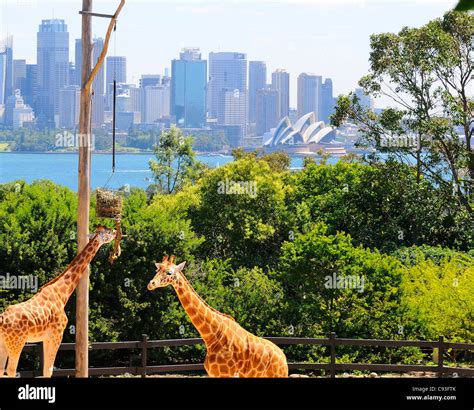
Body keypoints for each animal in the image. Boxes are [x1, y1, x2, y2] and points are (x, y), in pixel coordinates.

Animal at [0, 224, 116, 378]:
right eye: (106, 232)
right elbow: (48, 369)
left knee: (1, 369)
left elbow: (45, 369)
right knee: (11, 370)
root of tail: (2, 319)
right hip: (16, 342)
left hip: (3, 343)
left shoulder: (45, 338)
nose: (115, 232)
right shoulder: (57, 334)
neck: (62, 294)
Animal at [148, 256, 288, 378]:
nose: (151, 284)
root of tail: (284, 359)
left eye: (169, 272)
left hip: (277, 375)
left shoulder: (227, 374)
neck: (213, 336)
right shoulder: (213, 374)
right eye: (157, 270)